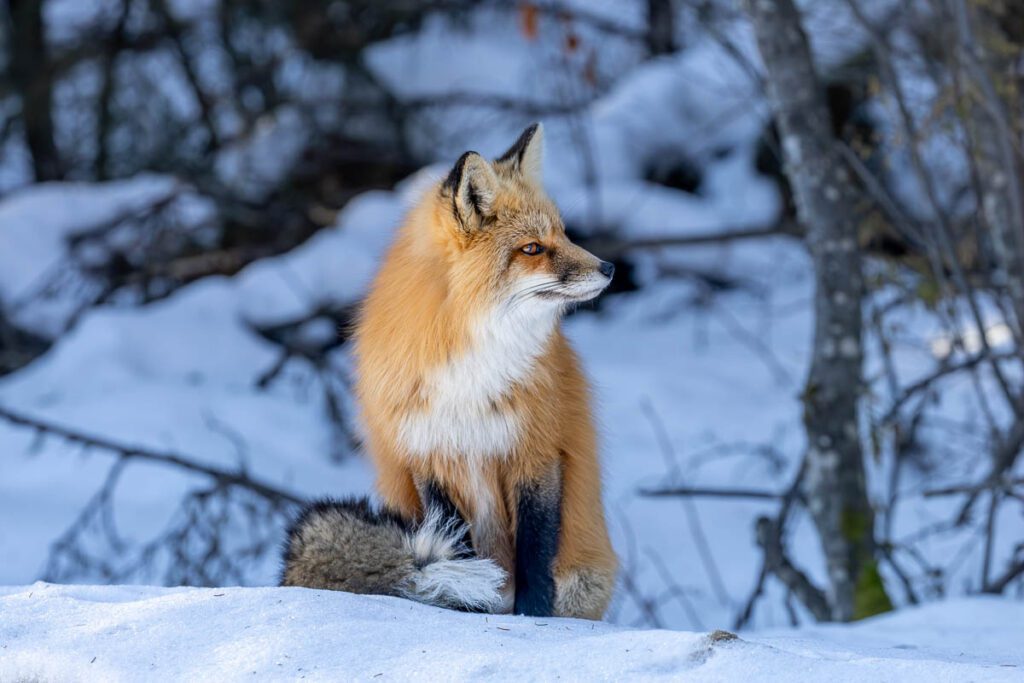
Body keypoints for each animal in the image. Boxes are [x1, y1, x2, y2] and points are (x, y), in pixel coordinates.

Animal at [281, 123, 618, 619]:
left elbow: (535, 552)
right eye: (532, 249)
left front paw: (533, 616)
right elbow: (457, 543)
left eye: (563, 233)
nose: (609, 268)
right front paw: (467, 606)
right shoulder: (426, 453)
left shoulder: (536, 450)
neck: (471, 370)